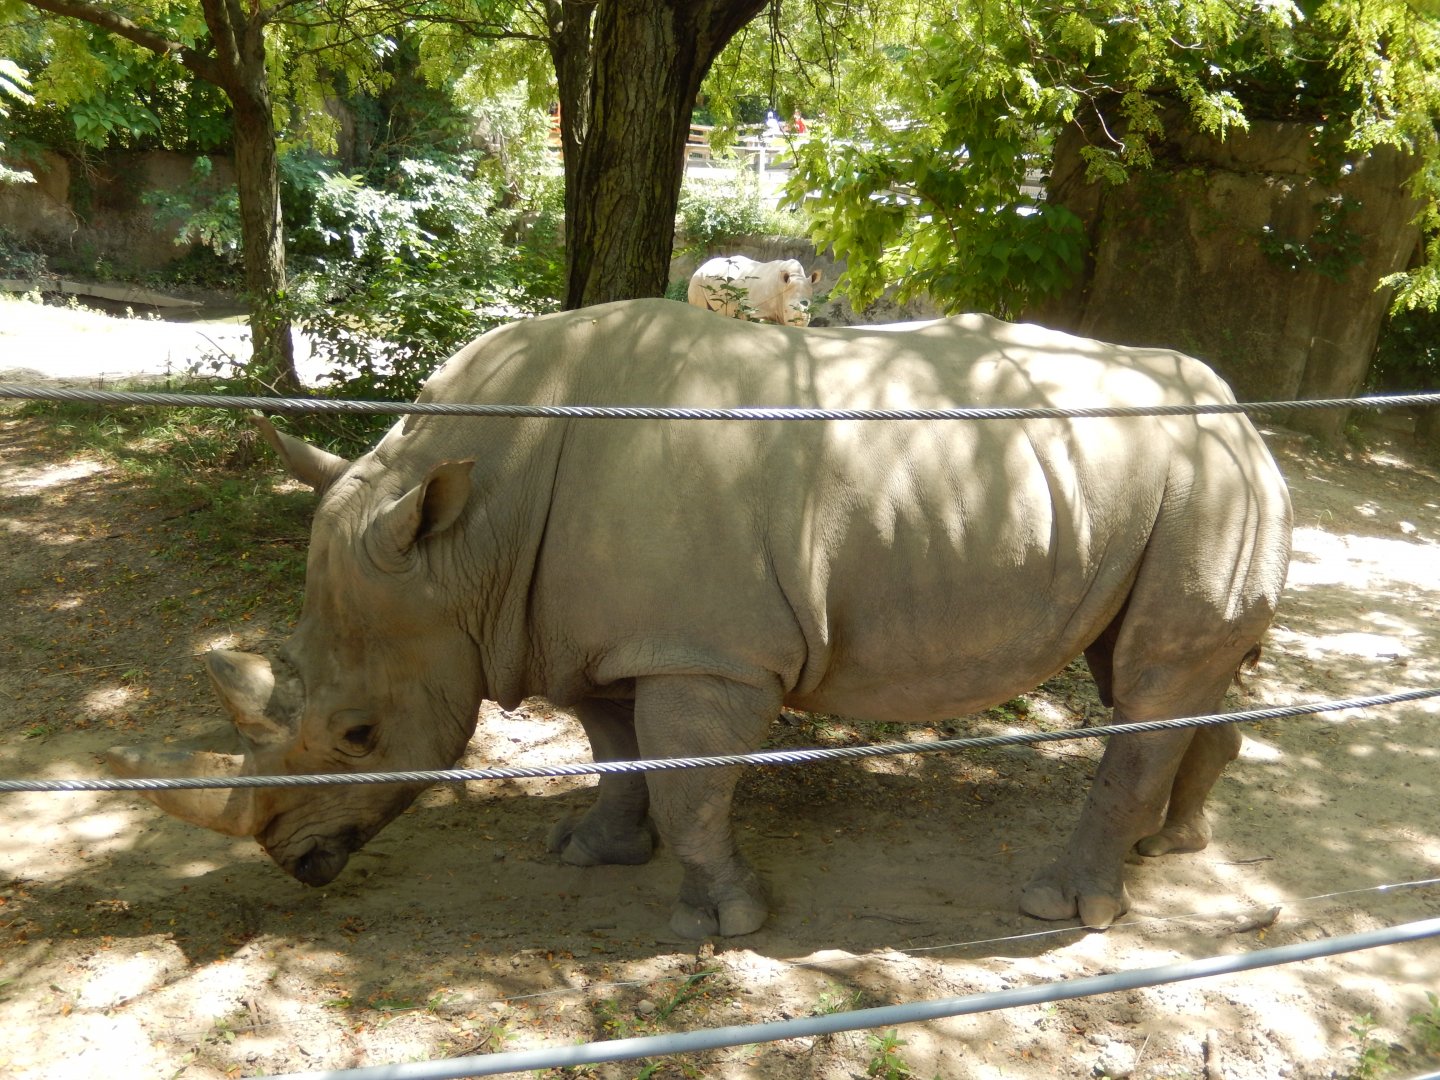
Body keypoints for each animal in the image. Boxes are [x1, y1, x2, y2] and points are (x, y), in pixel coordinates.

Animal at [108, 298, 1292, 938]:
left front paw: (720, 923)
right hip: (1164, 487)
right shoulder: (597, 634)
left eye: (358, 734)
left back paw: (1062, 906)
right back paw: (1174, 845)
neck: (468, 541)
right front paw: (588, 854)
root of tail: (1245, 413)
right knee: (1158, 676)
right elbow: (617, 752)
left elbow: (690, 785)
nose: (295, 864)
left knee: (1151, 686)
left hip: (1204, 483)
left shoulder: (705, 655)